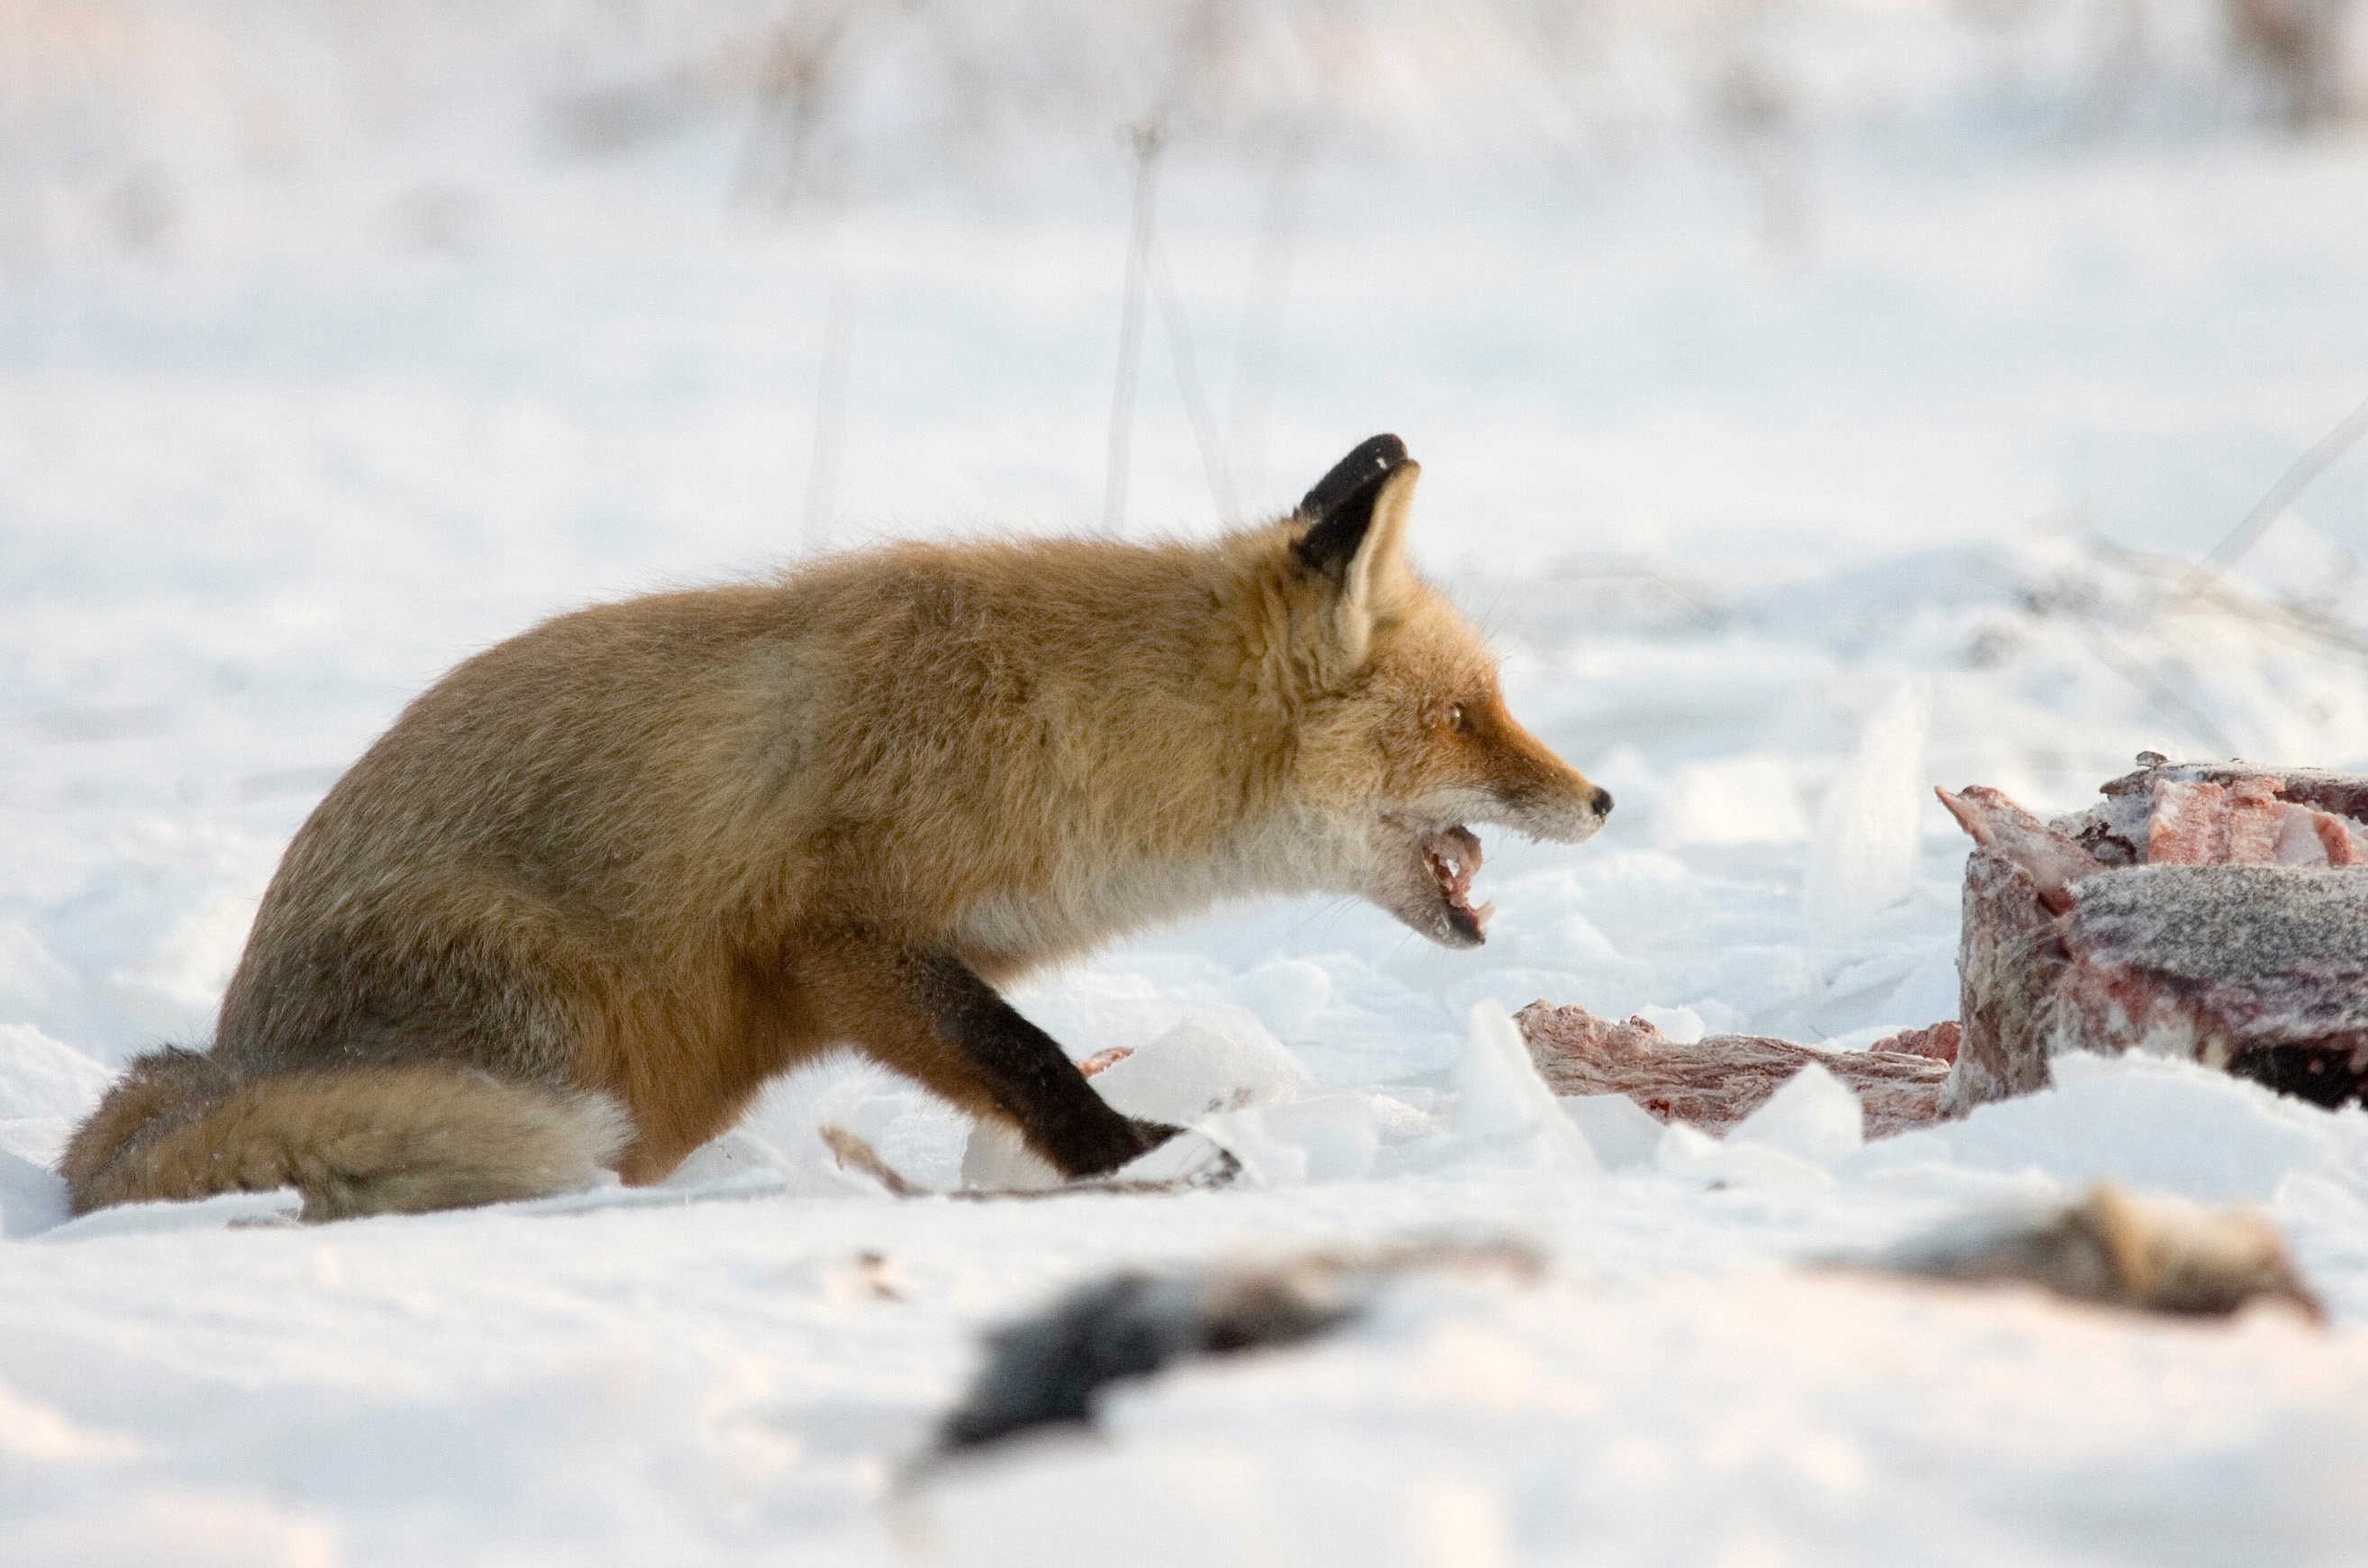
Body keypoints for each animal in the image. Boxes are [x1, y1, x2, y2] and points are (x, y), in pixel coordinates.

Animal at [64, 435, 1610, 1222]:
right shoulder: (835, 938)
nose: (1602, 800)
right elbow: (1022, 1052)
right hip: (552, 1025)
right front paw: (1133, 1161)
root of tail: (226, 1053)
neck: (1070, 731)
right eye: (1466, 715)